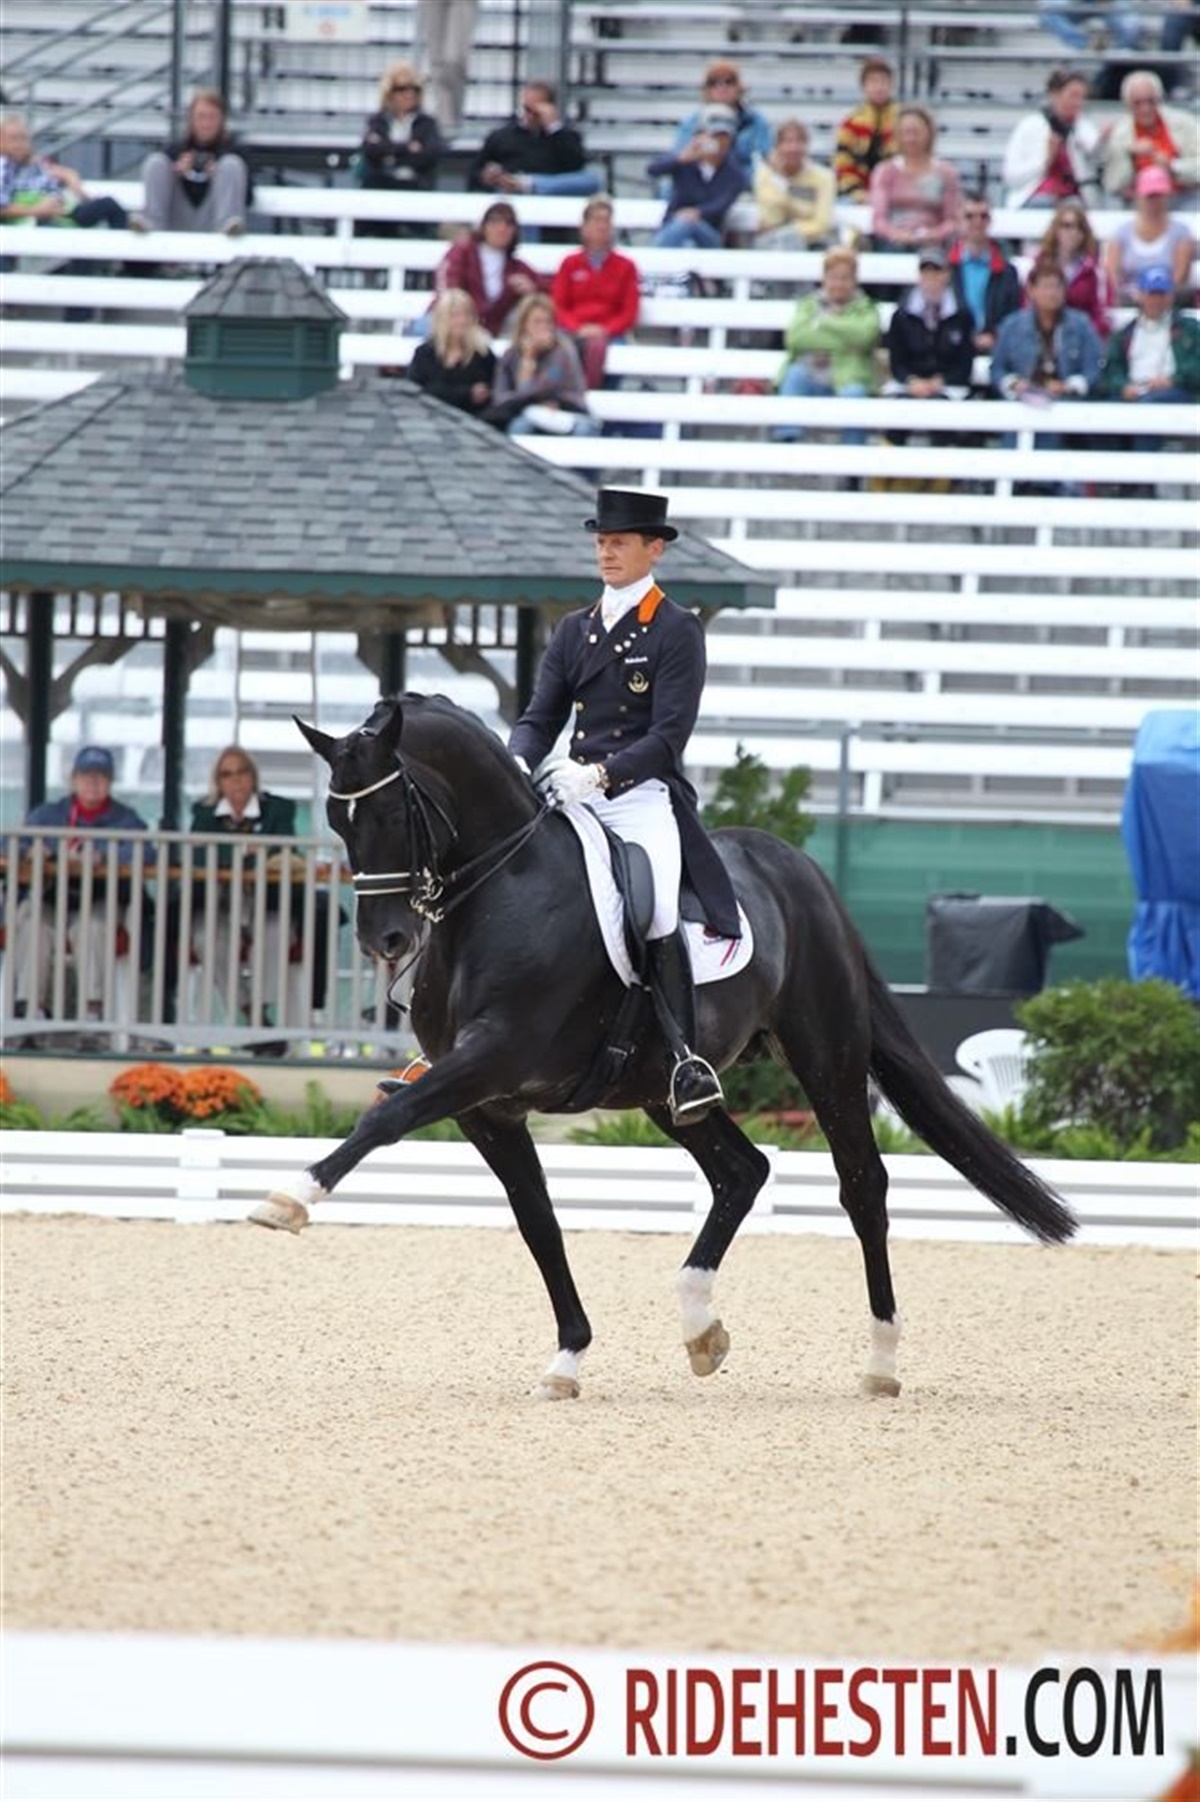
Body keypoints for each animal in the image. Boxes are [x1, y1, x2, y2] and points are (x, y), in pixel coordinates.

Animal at [251, 694, 1076, 1399]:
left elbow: (384, 1118)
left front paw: (289, 1198)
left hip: (827, 1056)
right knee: (742, 1171)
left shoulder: (492, 1060)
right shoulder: (490, 1105)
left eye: (394, 809)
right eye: (337, 820)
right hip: (662, 1091)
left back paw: (879, 1363)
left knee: (861, 1185)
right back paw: (701, 1327)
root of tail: (799, 868)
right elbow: (537, 1219)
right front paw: (567, 1359)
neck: (502, 889)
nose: (385, 940)